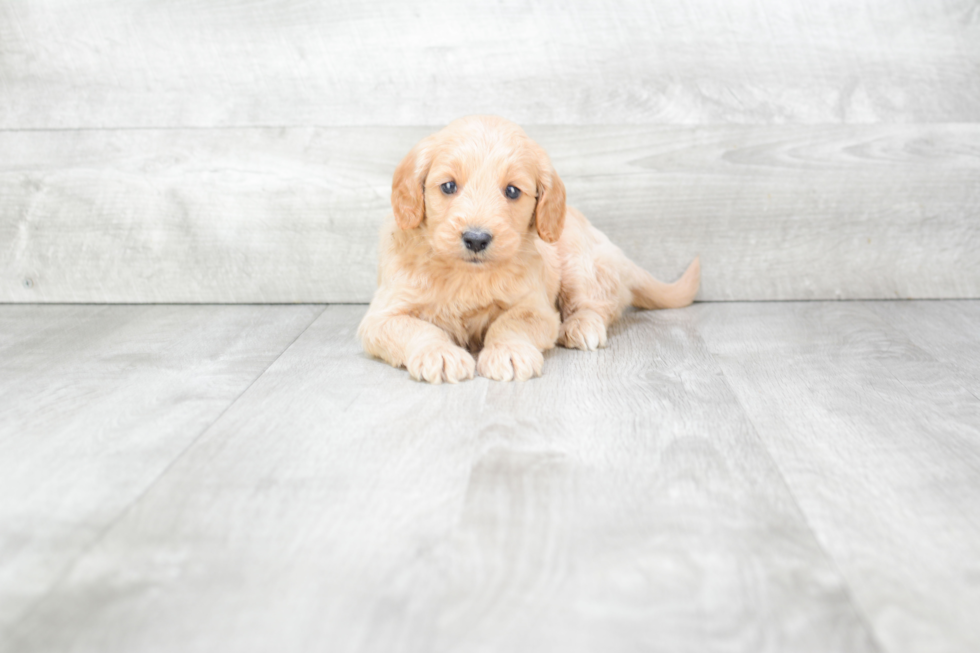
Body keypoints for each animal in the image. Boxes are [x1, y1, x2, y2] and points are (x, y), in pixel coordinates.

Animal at [358, 117, 696, 382]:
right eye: (449, 186)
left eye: (512, 191)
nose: (476, 239)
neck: (466, 275)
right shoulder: (382, 315)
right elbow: (415, 328)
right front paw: (439, 354)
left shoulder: (537, 308)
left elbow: (511, 323)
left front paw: (507, 351)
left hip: (579, 263)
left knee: (597, 306)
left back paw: (580, 326)